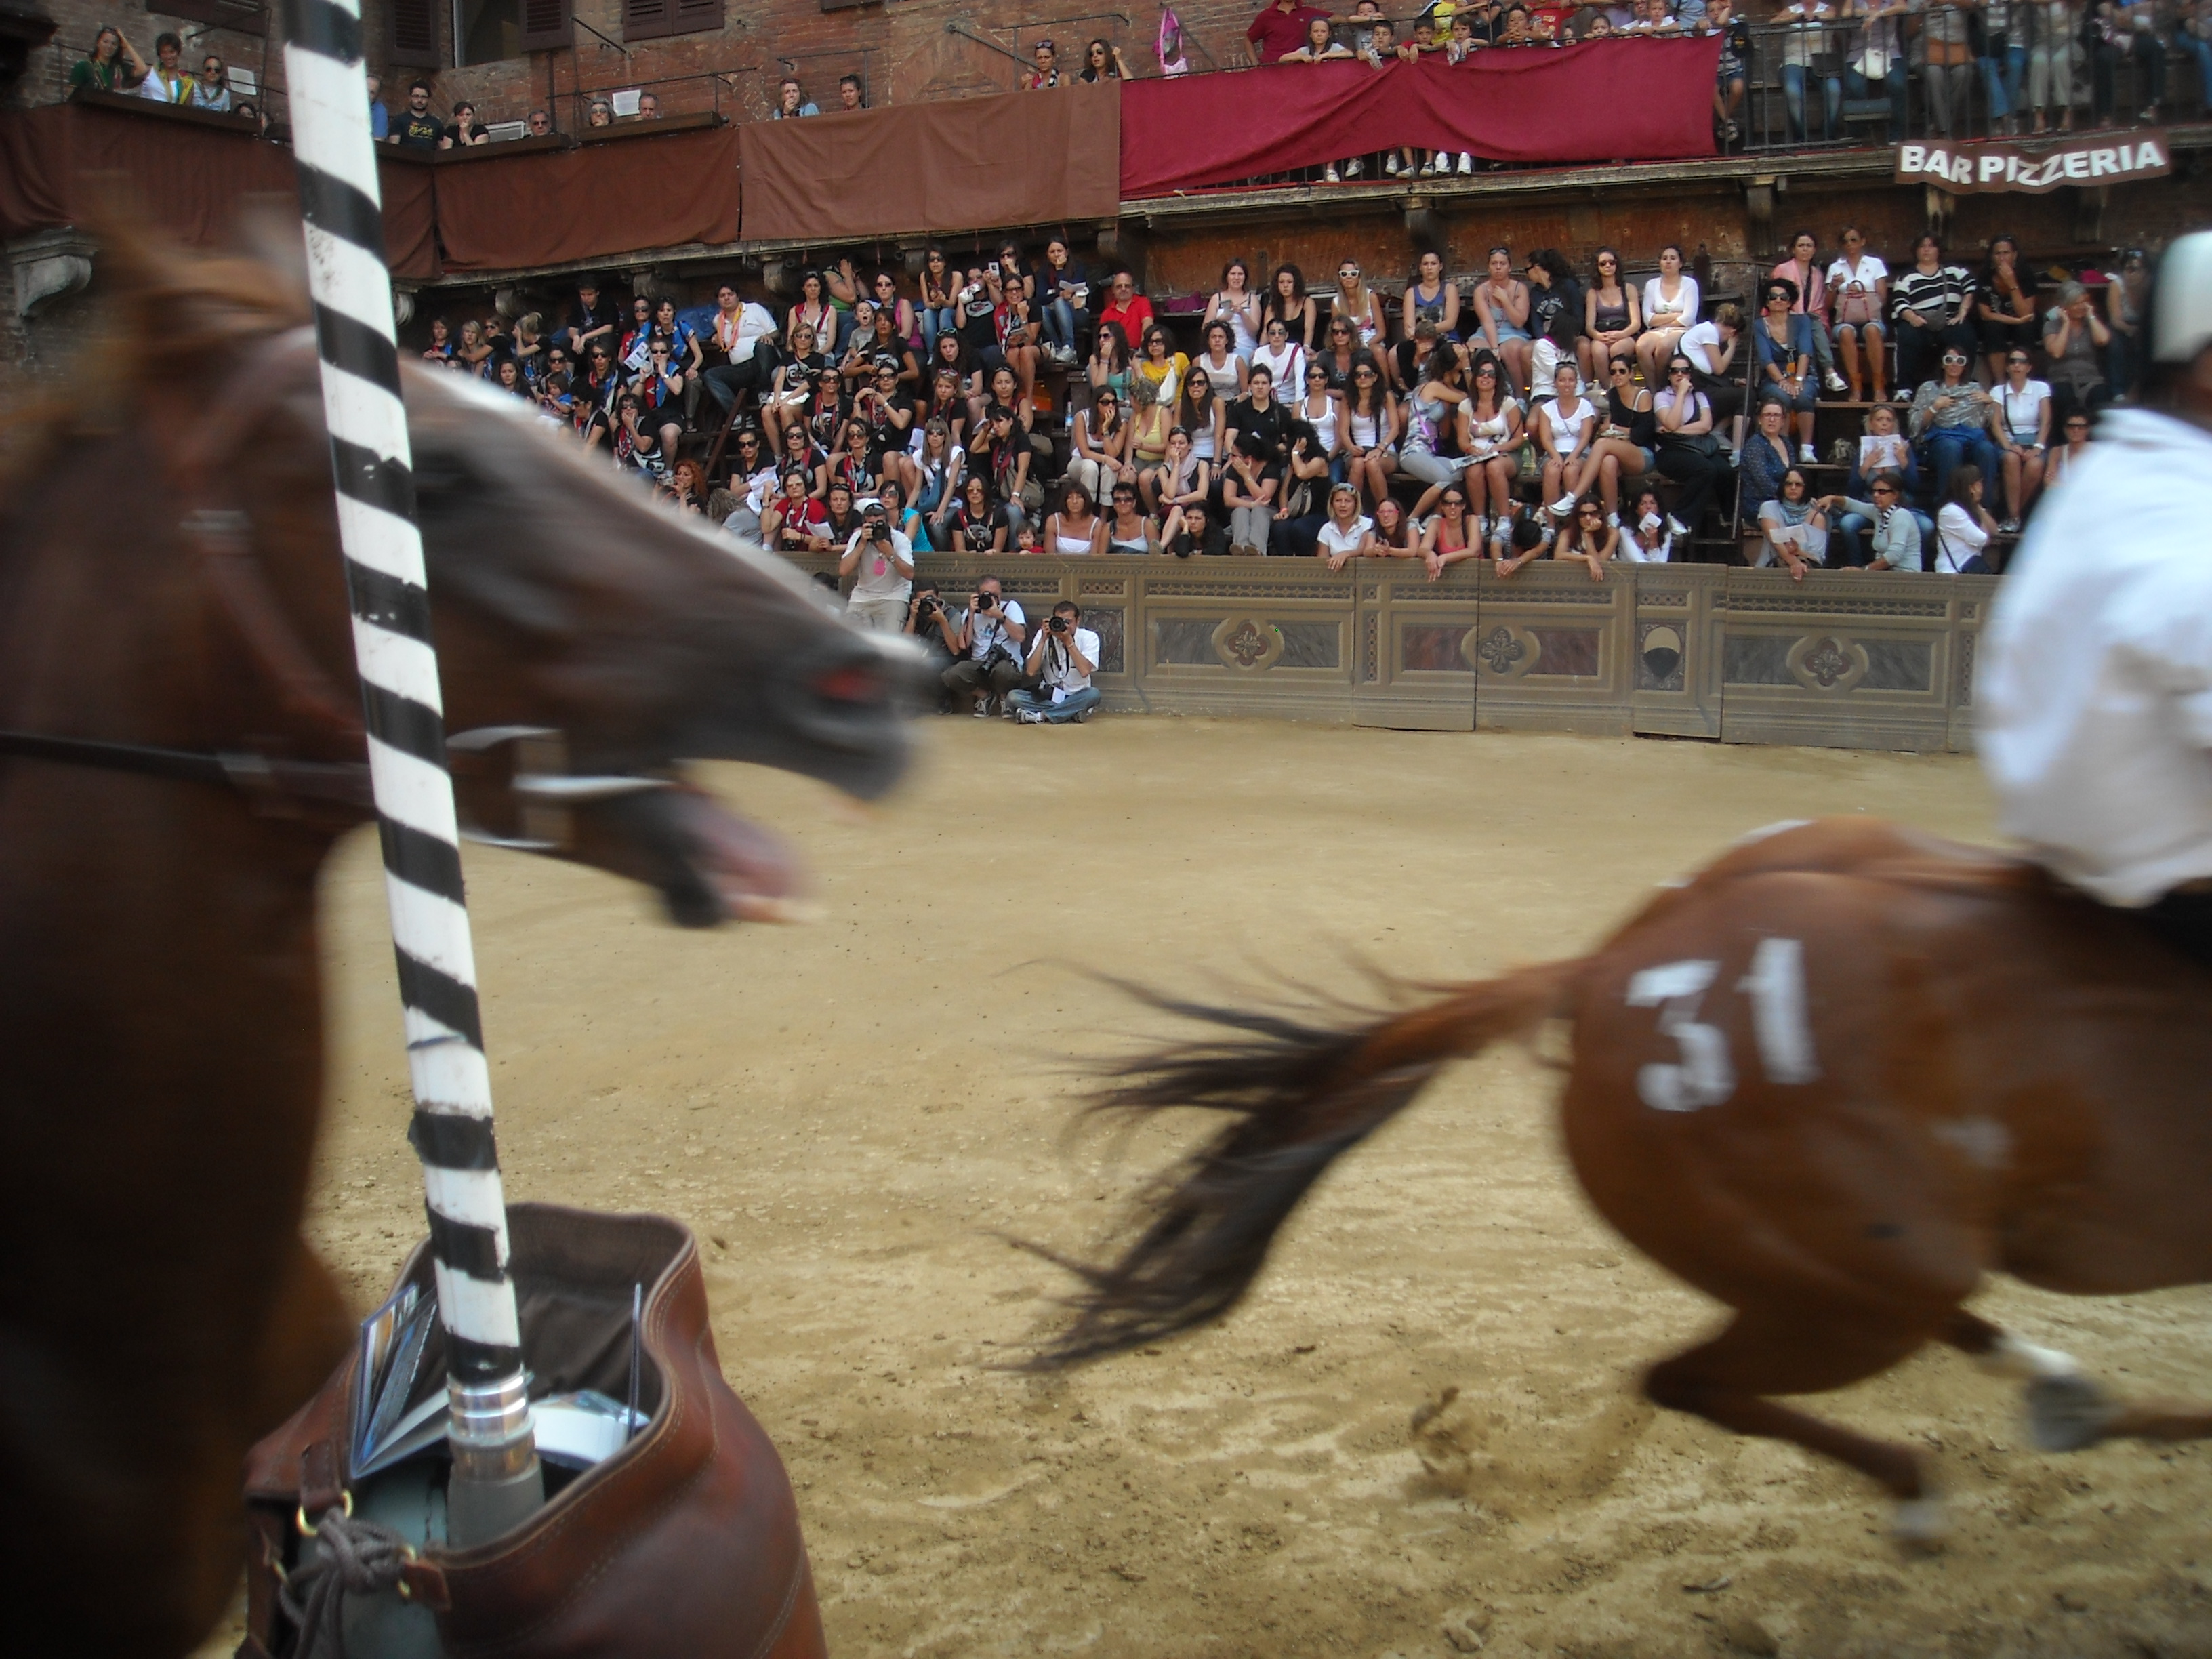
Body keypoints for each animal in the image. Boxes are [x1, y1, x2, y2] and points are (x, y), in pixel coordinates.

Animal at [1030, 815, 2212, 1542]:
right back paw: (1950, 1481)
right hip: (1856, 1292)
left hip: (1863, 1274)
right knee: (1698, 1381)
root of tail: (1603, 975)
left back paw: (2063, 1398)